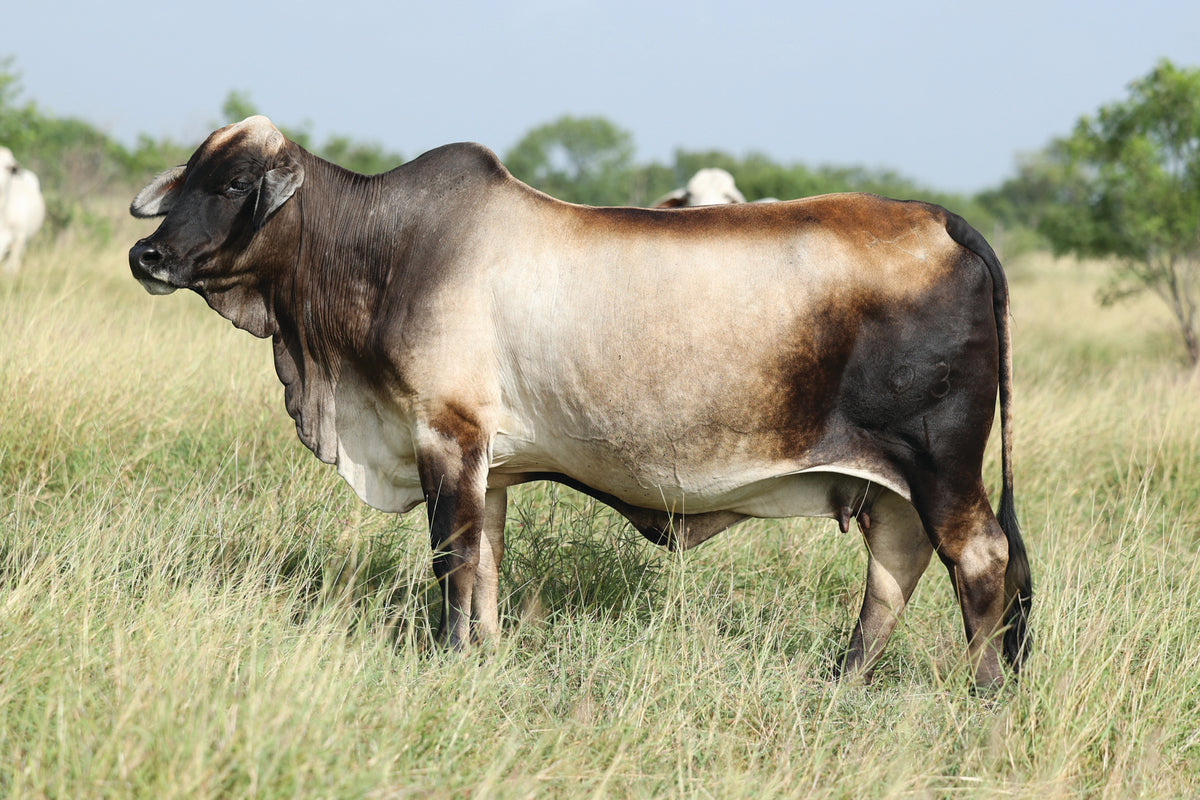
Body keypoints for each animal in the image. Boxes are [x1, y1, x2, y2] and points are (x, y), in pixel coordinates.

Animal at [129, 116, 1031, 689]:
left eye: (234, 183)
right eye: (188, 179)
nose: (148, 255)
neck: (381, 248)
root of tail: (944, 221)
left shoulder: (443, 436)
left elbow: (451, 561)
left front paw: (448, 657)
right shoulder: (487, 465)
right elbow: (484, 565)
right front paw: (483, 654)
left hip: (942, 465)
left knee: (981, 560)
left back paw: (982, 694)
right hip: (893, 484)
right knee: (896, 570)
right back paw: (841, 681)